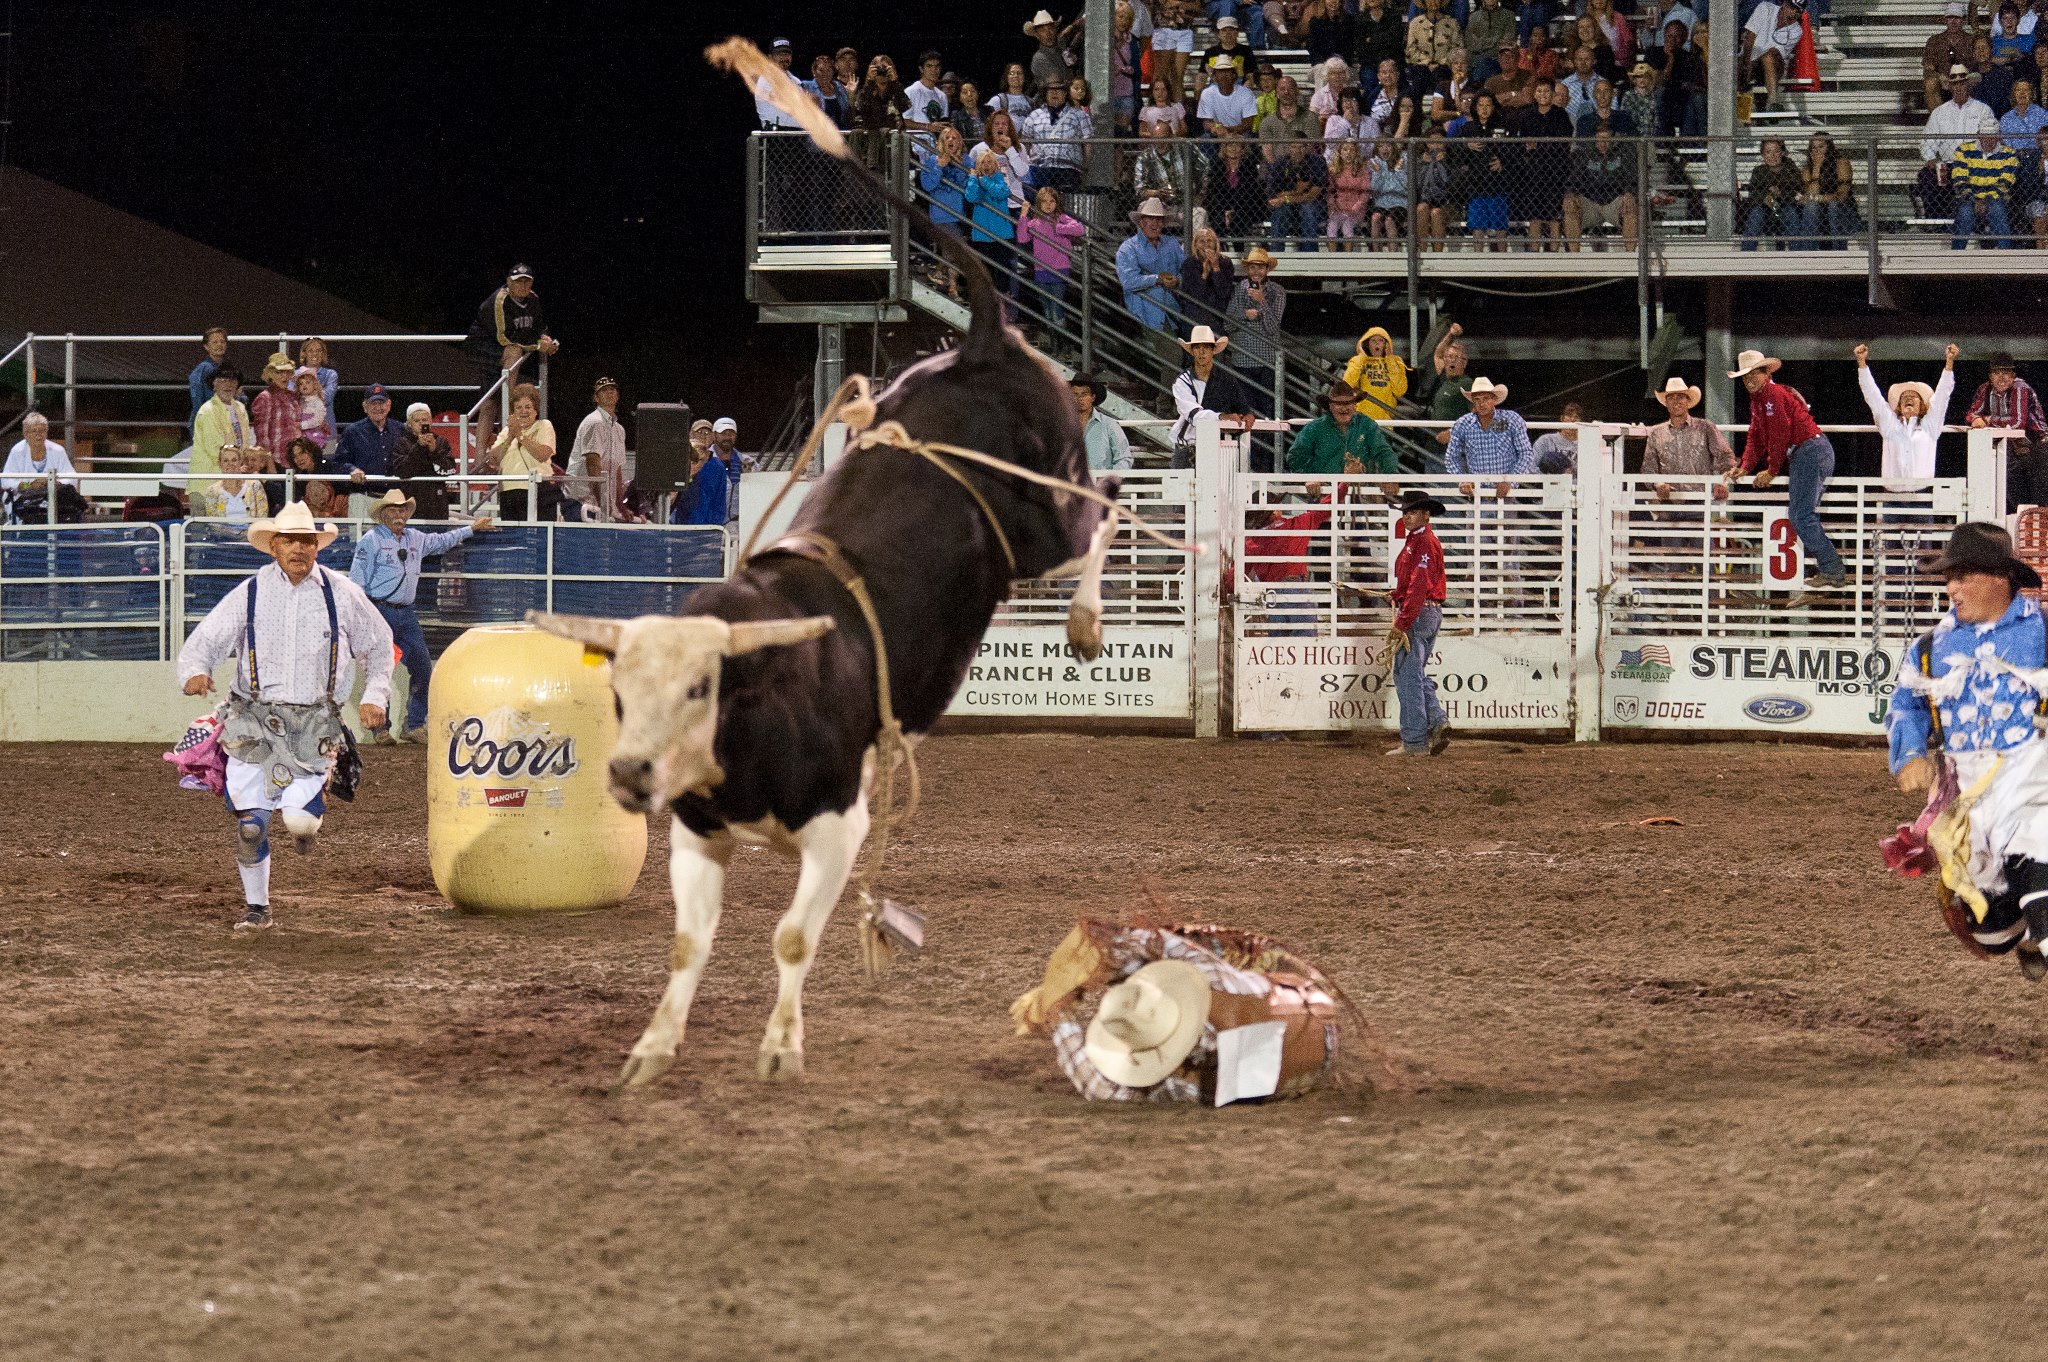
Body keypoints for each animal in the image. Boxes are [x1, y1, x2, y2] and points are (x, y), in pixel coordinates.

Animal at [528, 37, 1155, 1089]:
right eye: (617, 693)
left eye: (699, 690)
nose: (626, 773)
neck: (756, 702)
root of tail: (980, 341)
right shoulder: (696, 837)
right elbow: (689, 945)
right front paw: (654, 1047)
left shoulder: (838, 823)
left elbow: (790, 937)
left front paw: (781, 1047)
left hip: (1048, 515)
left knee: (1108, 506)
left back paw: (1087, 621)